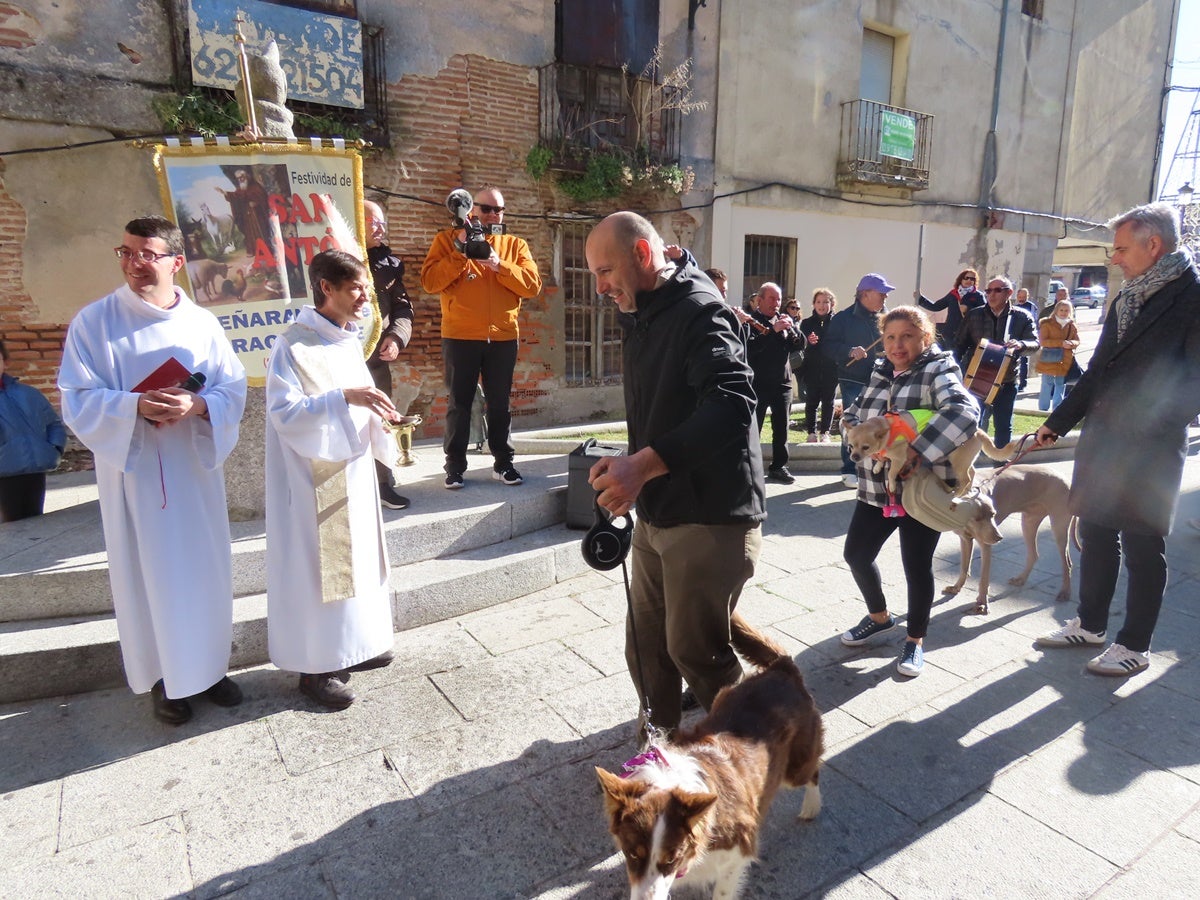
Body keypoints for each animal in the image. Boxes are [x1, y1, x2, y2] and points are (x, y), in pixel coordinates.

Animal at [595, 619, 820, 897]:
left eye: (671, 858)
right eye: (631, 854)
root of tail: (782, 668)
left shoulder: (738, 851)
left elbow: (722, 891)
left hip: (794, 769)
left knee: (813, 772)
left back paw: (811, 806)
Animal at [840, 415, 1017, 501]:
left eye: (865, 447)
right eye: (850, 446)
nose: (854, 457)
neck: (887, 430)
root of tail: (978, 431)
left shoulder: (899, 459)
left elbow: (891, 473)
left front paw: (891, 485)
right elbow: (880, 459)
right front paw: (877, 466)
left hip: (957, 461)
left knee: (966, 478)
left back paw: (957, 495)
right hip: (965, 460)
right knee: (972, 473)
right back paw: (966, 491)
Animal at [945, 465, 1080, 614]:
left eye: (993, 514)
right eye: (977, 519)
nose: (999, 538)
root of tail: (1067, 480)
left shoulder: (985, 545)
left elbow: (984, 578)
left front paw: (982, 603)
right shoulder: (965, 539)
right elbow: (964, 567)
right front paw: (956, 587)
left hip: (1058, 525)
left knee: (1067, 562)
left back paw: (1065, 592)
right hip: (1028, 522)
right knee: (1034, 555)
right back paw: (1020, 579)